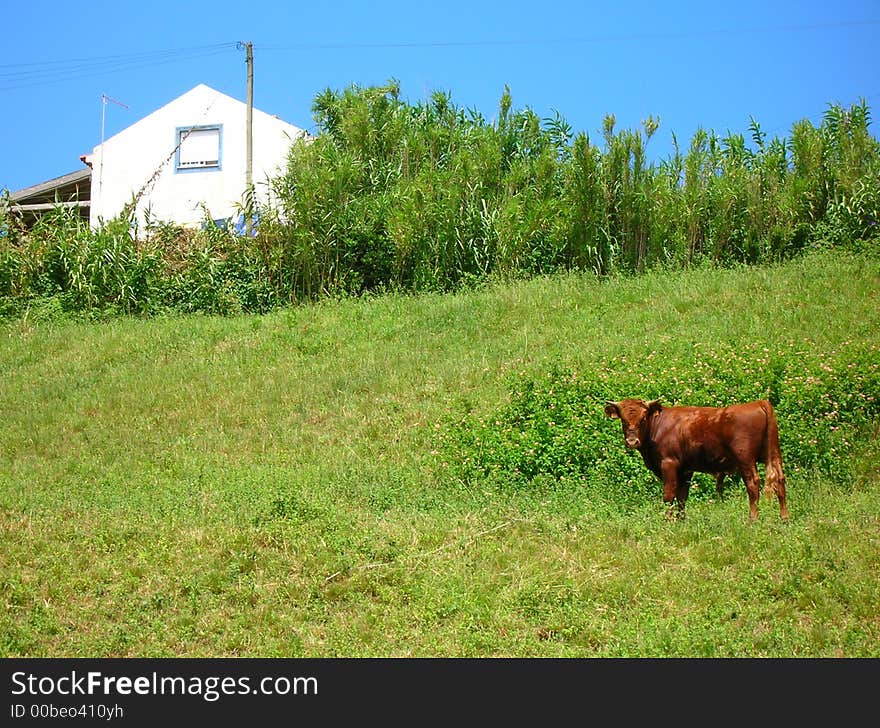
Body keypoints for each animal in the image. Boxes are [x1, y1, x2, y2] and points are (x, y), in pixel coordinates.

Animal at [604, 398, 792, 524]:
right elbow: (682, 496)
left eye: (643, 419)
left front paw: (668, 520)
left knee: (753, 484)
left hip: (745, 459)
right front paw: (681, 520)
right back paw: (784, 517)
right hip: (774, 454)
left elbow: (669, 495)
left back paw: (752, 519)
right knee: (780, 480)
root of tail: (758, 403)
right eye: (623, 420)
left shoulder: (669, 464)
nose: (632, 442)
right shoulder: (685, 469)